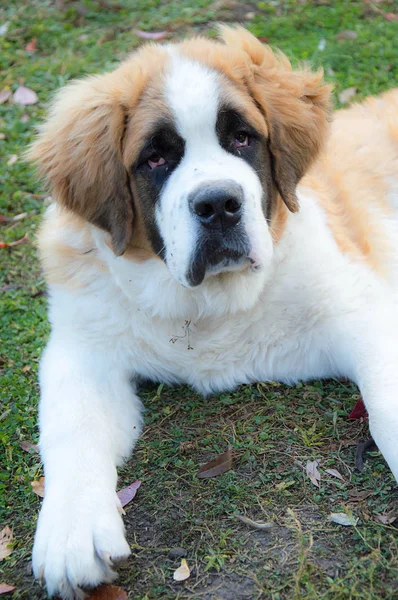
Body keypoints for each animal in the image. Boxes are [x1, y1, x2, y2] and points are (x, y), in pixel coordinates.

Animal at [28, 25, 398, 596]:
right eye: (155, 159)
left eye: (242, 138)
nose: (219, 204)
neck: (207, 310)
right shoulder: (82, 348)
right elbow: (71, 425)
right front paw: (72, 531)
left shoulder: (362, 310)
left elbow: (385, 403)